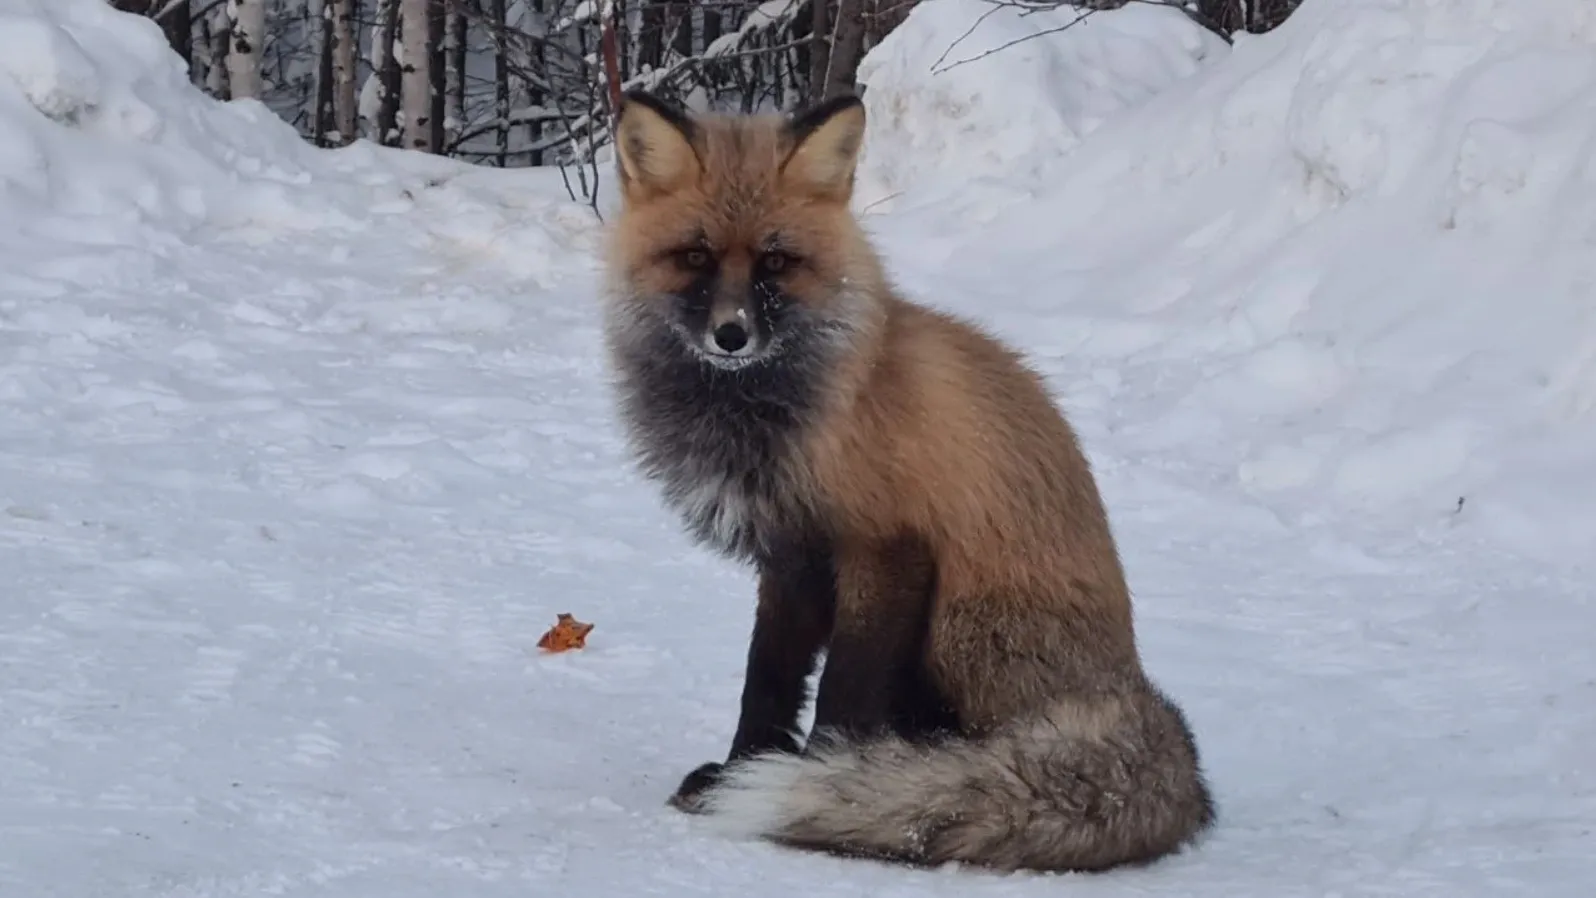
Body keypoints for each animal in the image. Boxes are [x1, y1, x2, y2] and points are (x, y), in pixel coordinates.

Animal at [593, 87, 1212, 874]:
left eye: (776, 262)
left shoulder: (887, 548)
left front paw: (829, 778)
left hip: (956, 627)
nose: (731, 336)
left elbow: (843, 689)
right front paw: (741, 770)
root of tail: (1133, 691)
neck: (774, 419)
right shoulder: (791, 558)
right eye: (696, 256)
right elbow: (767, 680)